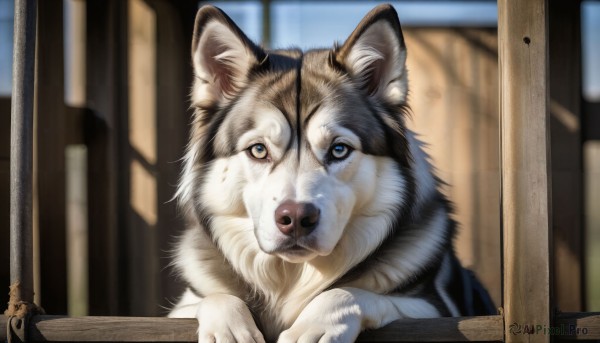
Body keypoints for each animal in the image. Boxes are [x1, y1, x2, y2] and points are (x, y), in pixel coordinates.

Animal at [168, 3, 492, 343]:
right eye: (258, 150)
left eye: (339, 150)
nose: (296, 218)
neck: (293, 278)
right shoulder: (182, 306)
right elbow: (214, 298)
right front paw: (228, 329)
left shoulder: (435, 308)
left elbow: (348, 293)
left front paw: (313, 325)